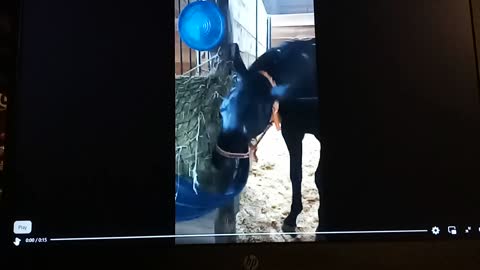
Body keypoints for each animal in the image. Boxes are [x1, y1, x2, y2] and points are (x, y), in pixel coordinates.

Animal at [212, 39, 324, 239]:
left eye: (251, 119)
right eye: (222, 111)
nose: (218, 160)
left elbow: (320, 177)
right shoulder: (292, 131)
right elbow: (296, 174)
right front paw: (291, 219)